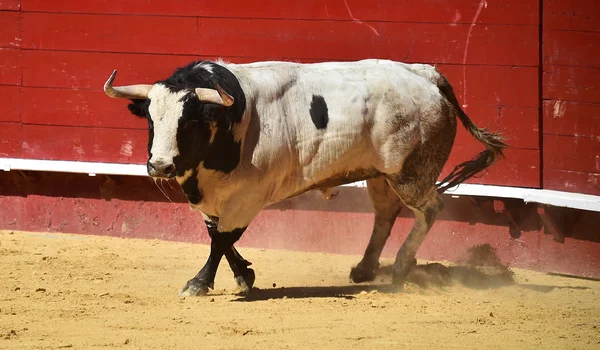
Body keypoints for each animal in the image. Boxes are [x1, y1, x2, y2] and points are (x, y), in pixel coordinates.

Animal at [103, 59, 506, 296]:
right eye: (150, 119)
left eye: (188, 121)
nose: (160, 166)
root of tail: (427, 74)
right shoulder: (209, 197)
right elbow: (218, 235)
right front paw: (244, 274)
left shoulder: (248, 197)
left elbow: (221, 239)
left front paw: (200, 283)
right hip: (381, 175)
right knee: (386, 214)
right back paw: (364, 269)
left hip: (412, 173)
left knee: (430, 209)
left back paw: (401, 267)